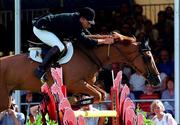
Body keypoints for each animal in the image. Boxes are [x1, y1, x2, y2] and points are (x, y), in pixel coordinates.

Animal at [0, 32, 160, 111]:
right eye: (147, 57)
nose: (157, 80)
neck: (89, 53)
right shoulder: (76, 83)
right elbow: (97, 95)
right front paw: (72, 102)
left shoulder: (85, 84)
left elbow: (101, 95)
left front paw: (74, 102)